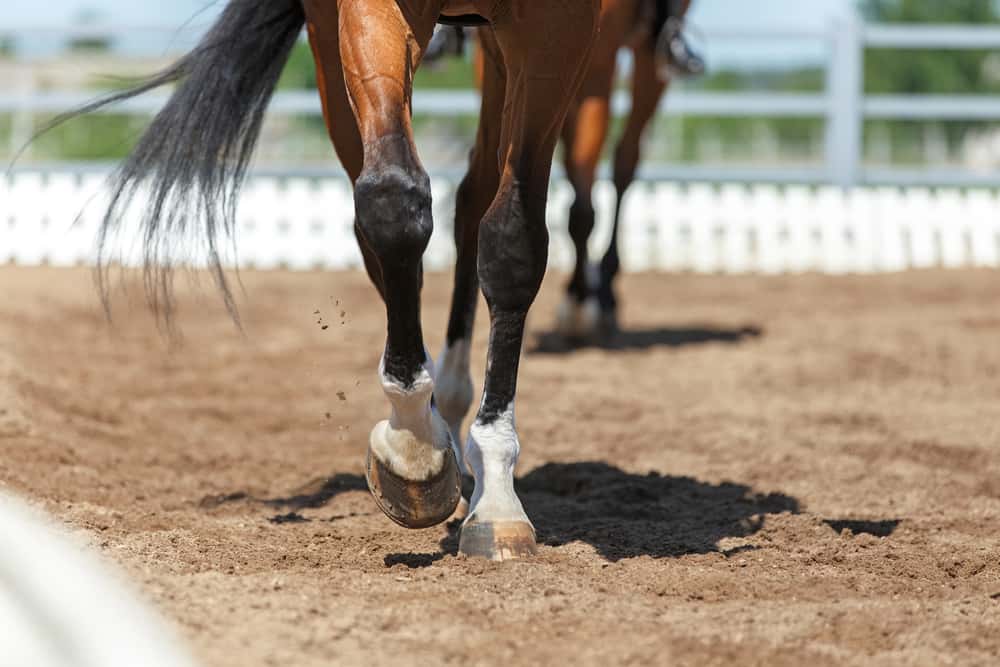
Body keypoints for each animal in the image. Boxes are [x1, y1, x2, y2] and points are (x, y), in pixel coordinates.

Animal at [50, 0, 600, 561]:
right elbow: (392, 202)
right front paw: (415, 448)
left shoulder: (560, 29)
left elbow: (514, 241)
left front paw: (496, 500)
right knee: (401, 214)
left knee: (476, 199)